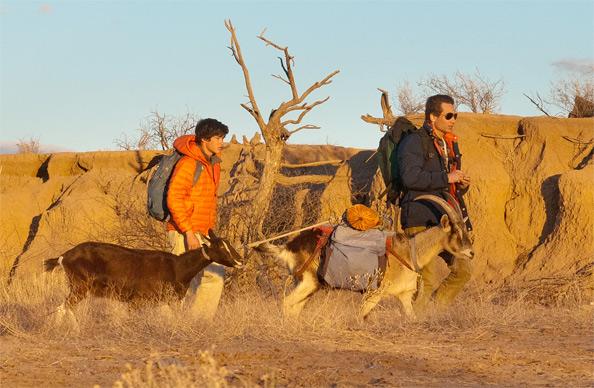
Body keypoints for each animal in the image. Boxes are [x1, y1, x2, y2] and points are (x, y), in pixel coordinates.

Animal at [43, 229, 243, 316]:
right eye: (221, 247)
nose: (240, 260)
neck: (177, 267)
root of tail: (63, 257)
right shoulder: (137, 300)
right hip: (80, 287)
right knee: (63, 308)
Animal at [256, 196, 472, 320]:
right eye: (456, 232)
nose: (471, 252)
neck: (410, 252)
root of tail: (287, 247)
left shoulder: (404, 296)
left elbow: (411, 318)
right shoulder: (374, 294)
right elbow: (360, 317)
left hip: (307, 285)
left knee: (294, 307)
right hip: (308, 282)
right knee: (286, 303)